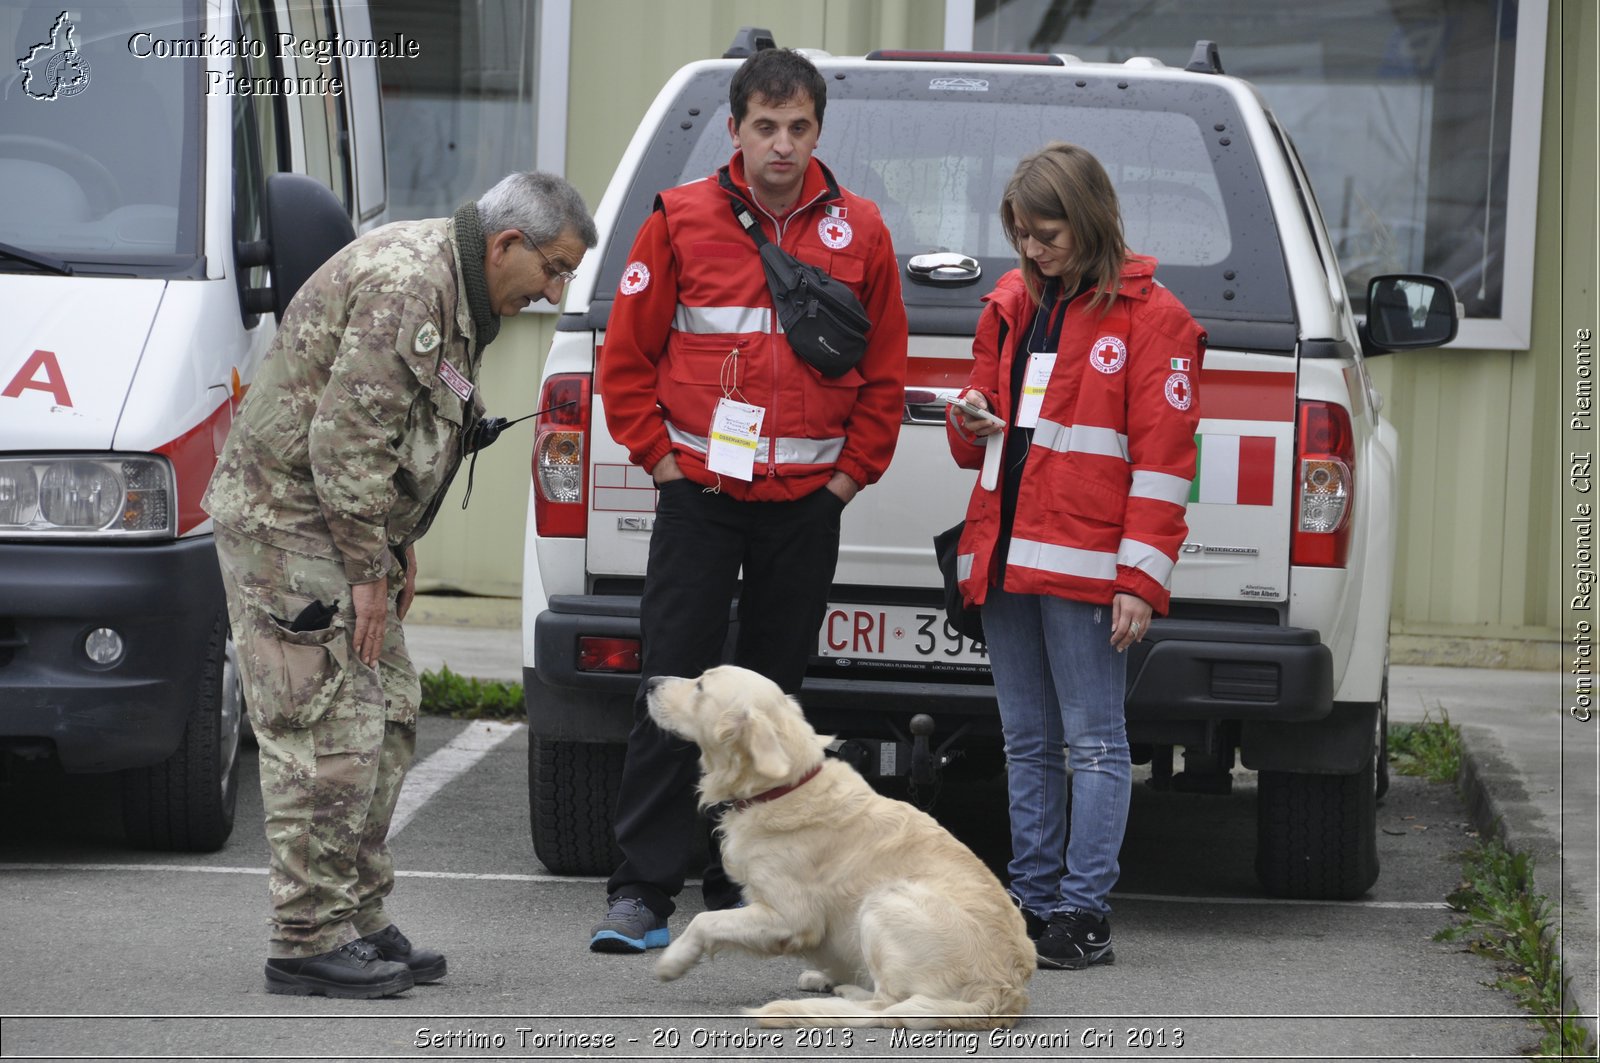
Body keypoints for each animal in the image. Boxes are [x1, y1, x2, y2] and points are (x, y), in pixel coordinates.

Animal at [649, 669, 1036, 1024]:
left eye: (700, 685)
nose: (651, 682)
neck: (783, 787)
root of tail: (1003, 993)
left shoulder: (791, 917)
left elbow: (704, 920)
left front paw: (673, 961)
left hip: (884, 900)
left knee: (886, 1005)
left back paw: (841, 995)